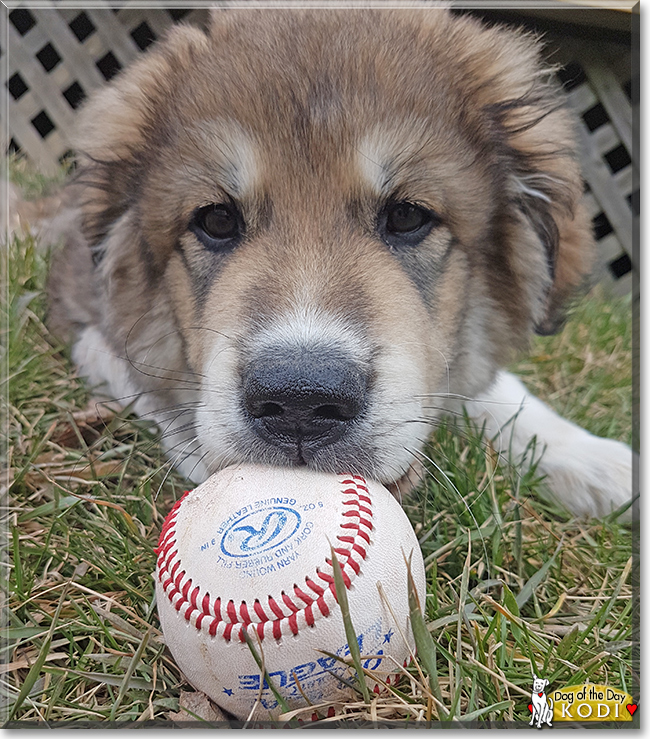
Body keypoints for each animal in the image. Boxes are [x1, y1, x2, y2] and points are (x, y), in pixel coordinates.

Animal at [46, 8, 632, 524]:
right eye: (215, 220)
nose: (301, 401)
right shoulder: (91, 325)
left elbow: (497, 392)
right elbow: (141, 379)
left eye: (407, 215)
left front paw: (597, 462)